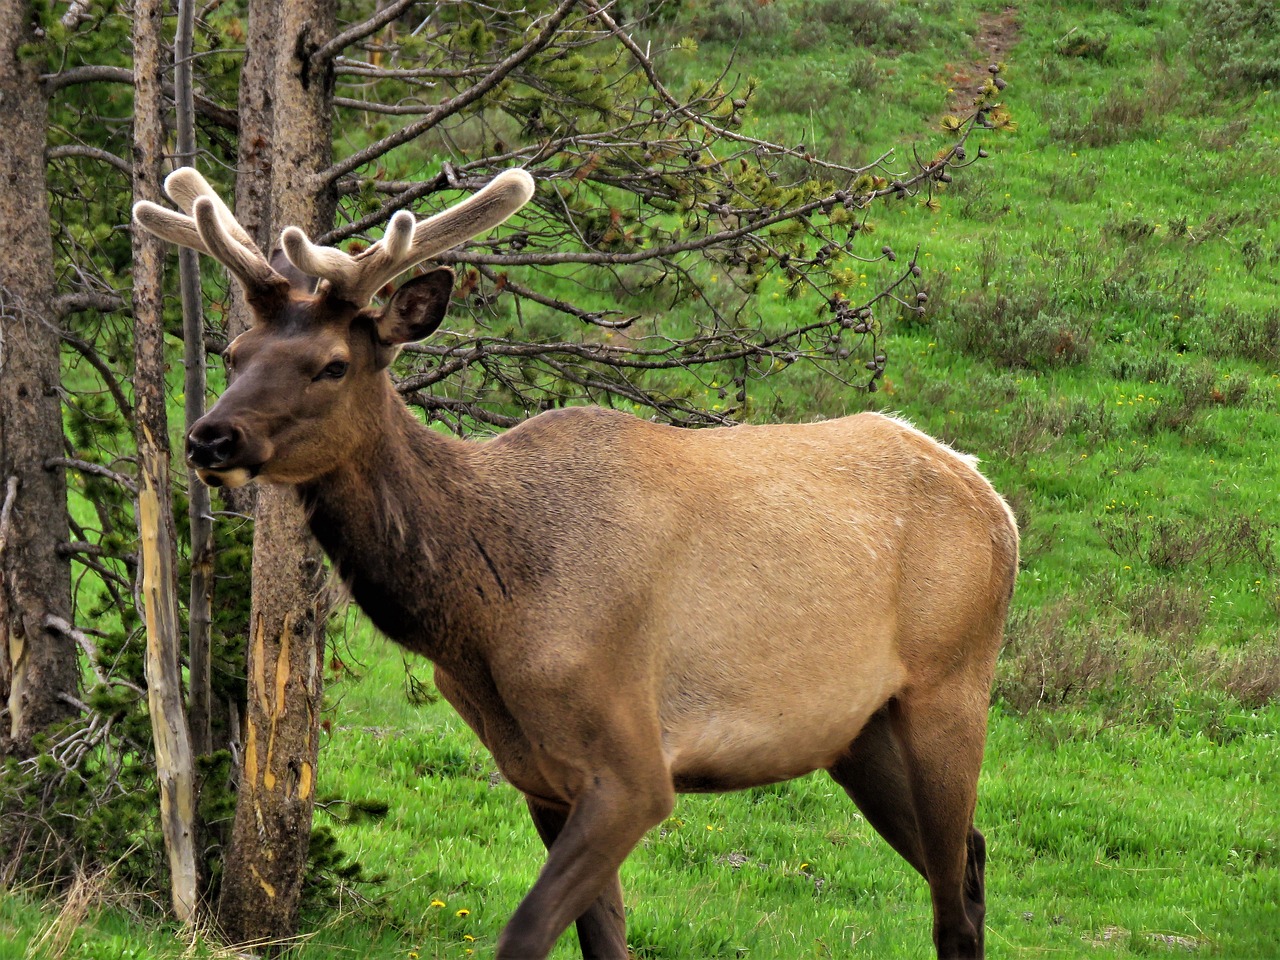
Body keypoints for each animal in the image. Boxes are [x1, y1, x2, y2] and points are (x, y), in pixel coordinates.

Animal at [135, 168, 1018, 960]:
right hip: (857, 733)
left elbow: (526, 935)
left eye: (331, 364)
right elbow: (603, 943)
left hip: (950, 685)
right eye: (236, 350)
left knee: (953, 897)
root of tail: (992, 498)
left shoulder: (633, 765)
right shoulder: (540, 777)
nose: (209, 437)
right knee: (971, 862)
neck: (486, 615)